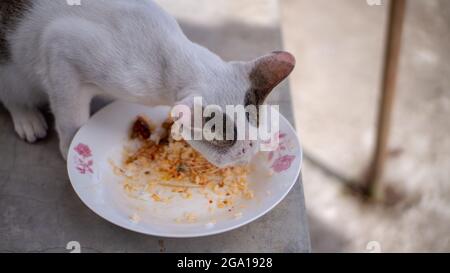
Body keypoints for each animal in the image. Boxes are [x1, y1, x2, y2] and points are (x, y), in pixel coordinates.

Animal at [0, 0, 296, 166]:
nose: (247, 152)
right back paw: (28, 118)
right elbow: (71, 116)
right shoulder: (60, 47)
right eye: (225, 142)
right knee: (12, 93)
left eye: (255, 133)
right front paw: (72, 147)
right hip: (15, 69)